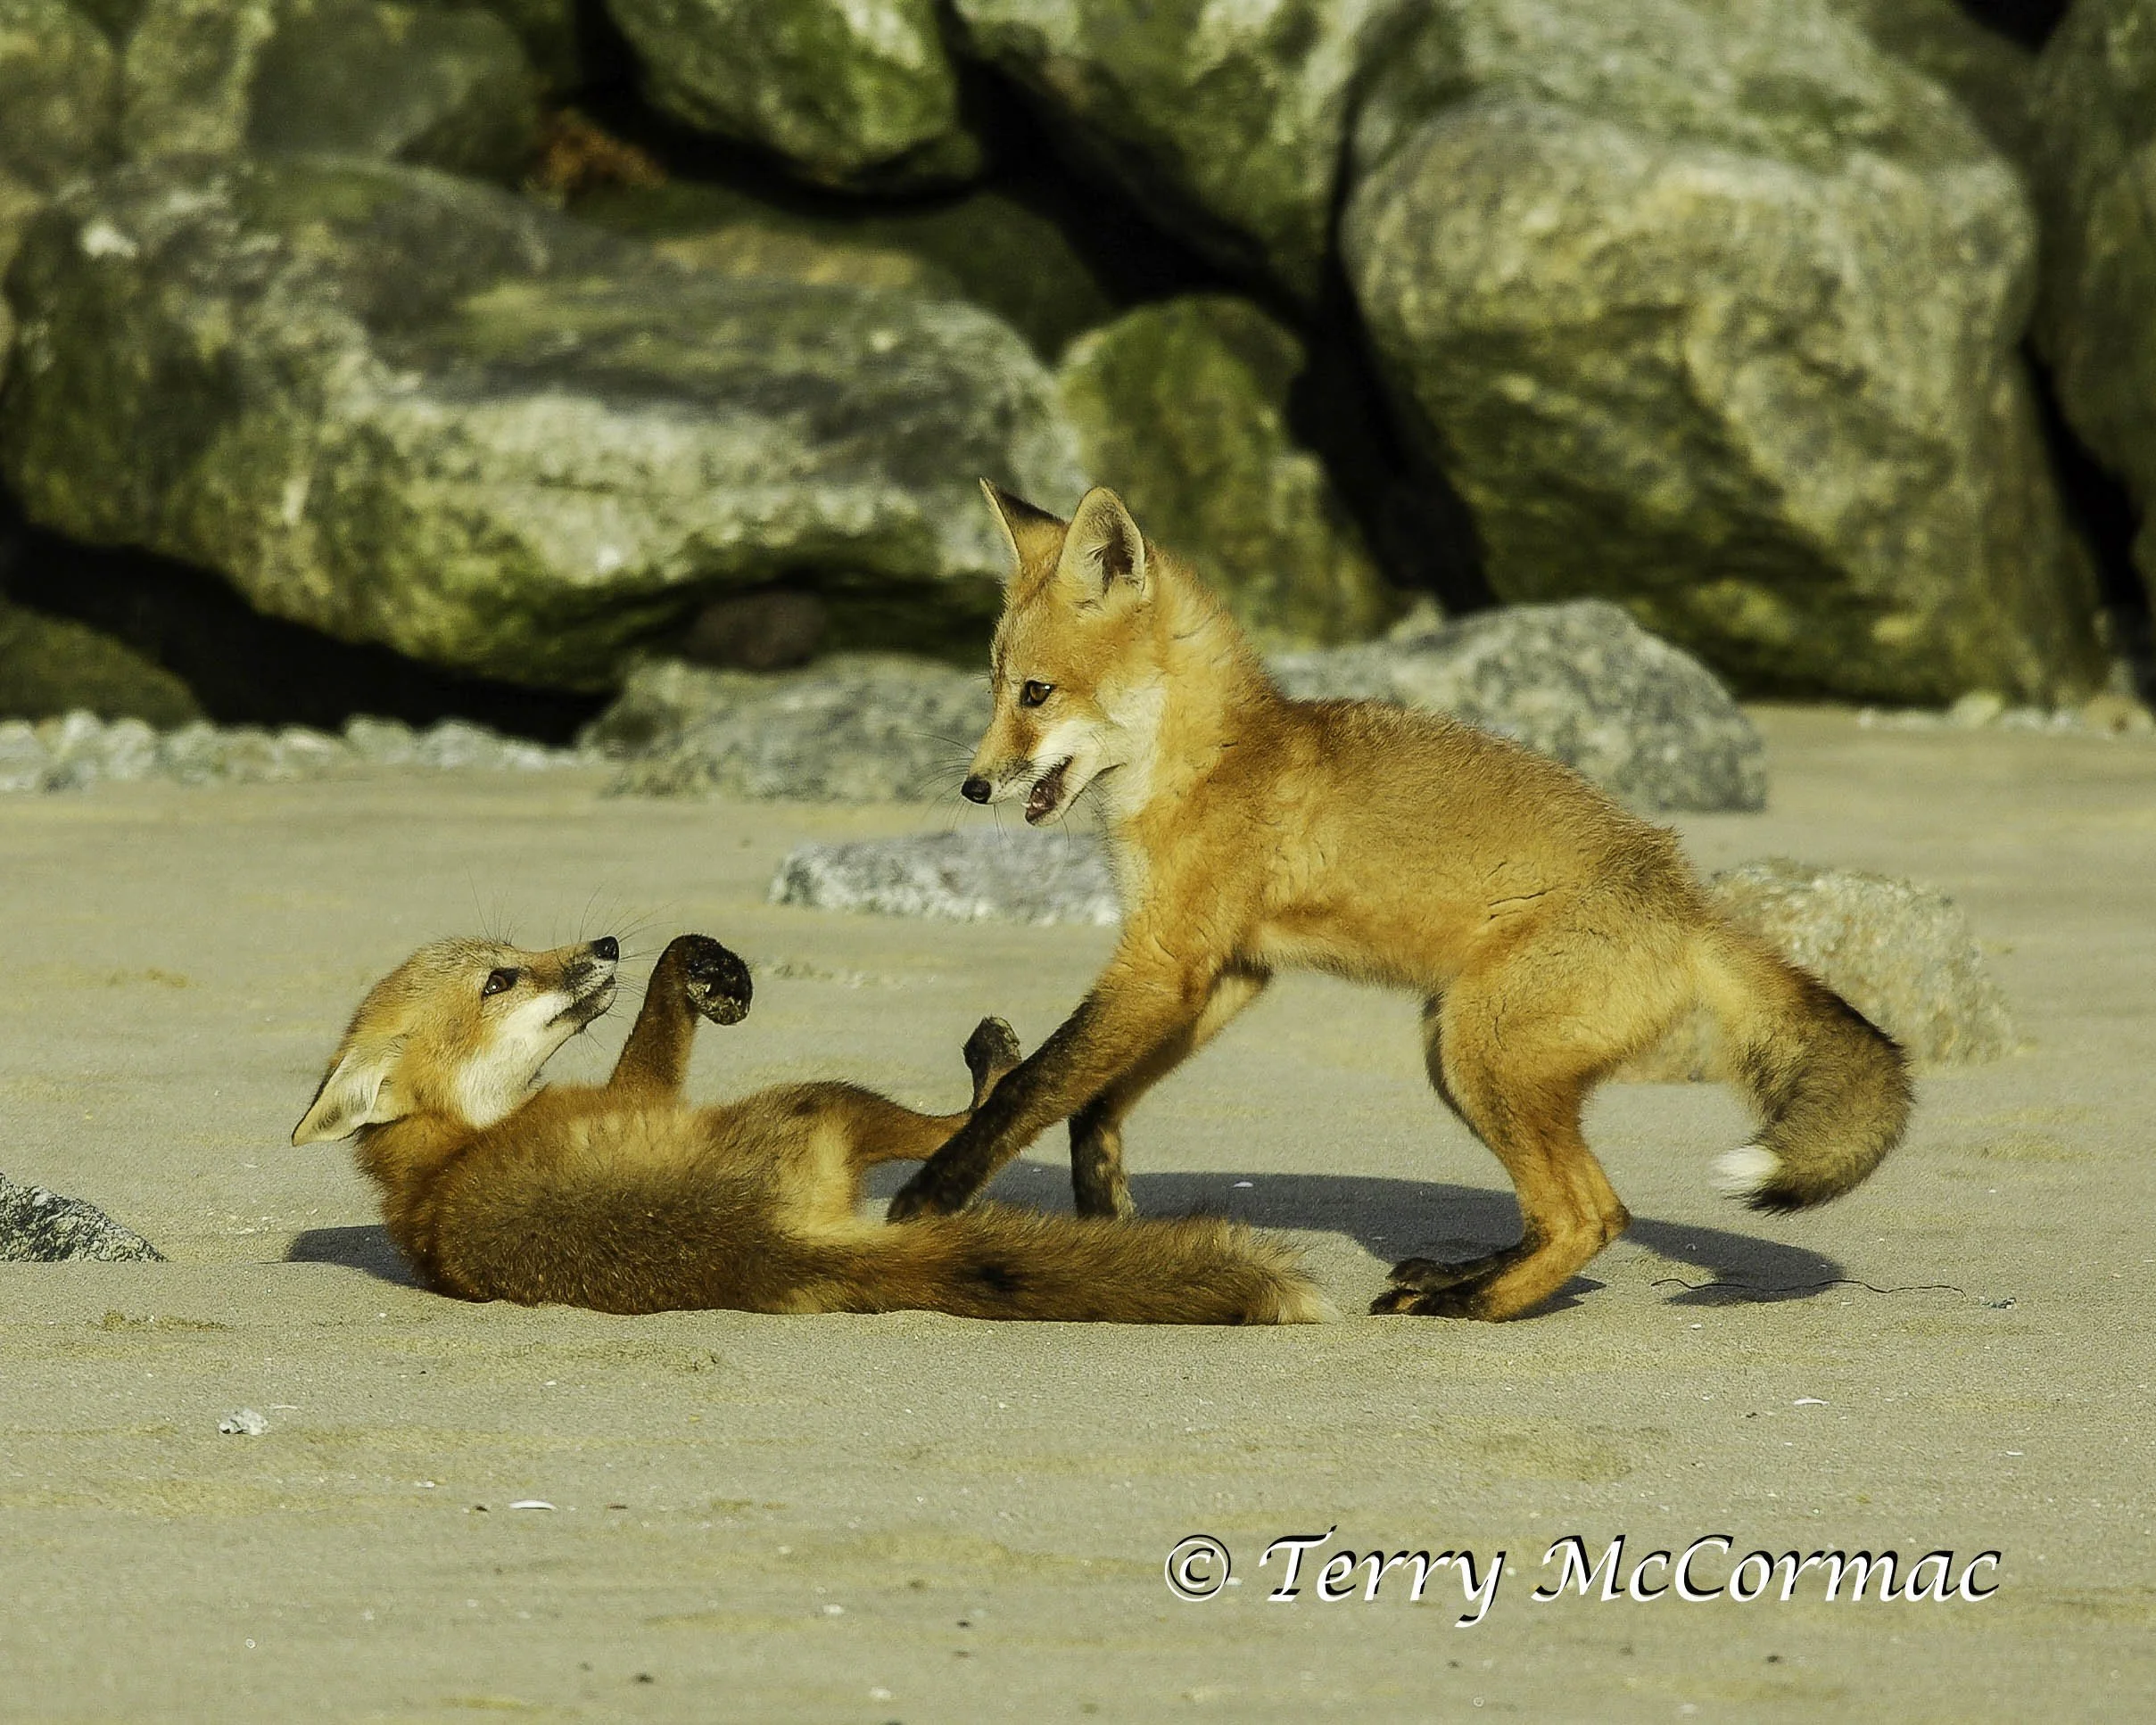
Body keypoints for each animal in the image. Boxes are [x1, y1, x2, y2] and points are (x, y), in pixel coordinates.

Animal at [290, 930, 1325, 1324]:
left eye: (517, 954)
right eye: (500, 979)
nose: (602, 943)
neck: (450, 1150)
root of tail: (762, 1249)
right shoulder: (644, 1091)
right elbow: (664, 1003)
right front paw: (698, 969)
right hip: (824, 1095)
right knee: (965, 1126)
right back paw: (1000, 1067)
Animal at [885, 482, 1913, 1322]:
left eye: (1034, 692)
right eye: (993, 688)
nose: (973, 786)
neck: (1208, 762)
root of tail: (1686, 898)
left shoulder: (1162, 963)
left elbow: (1031, 1083)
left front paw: (932, 1195)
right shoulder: (1222, 972)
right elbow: (1094, 1102)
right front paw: (1106, 1215)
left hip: (1476, 1049)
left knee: (1590, 1216)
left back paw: (1471, 1302)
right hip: (1452, 1054)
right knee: (1574, 1215)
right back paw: (1458, 1275)